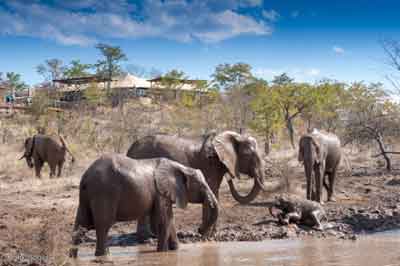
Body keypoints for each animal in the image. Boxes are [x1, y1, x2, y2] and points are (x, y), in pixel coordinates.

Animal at [69, 154, 219, 258]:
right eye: (202, 186)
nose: (199, 230)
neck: (181, 167)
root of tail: (85, 177)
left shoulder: (163, 193)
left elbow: (169, 220)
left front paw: (175, 251)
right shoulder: (160, 192)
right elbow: (162, 221)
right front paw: (162, 253)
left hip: (88, 195)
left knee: (81, 224)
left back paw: (72, 257)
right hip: (104, 192)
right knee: (103, 226)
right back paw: (103, 256)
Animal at [126, 131, 266, 239]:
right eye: (247, 155)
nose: (230, 178)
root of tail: (129, 150)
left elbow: (214, 194)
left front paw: (211, 235)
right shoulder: (209, 165)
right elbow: (211, 192)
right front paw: (207, 235)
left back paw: (151, 236)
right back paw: (147, 238)